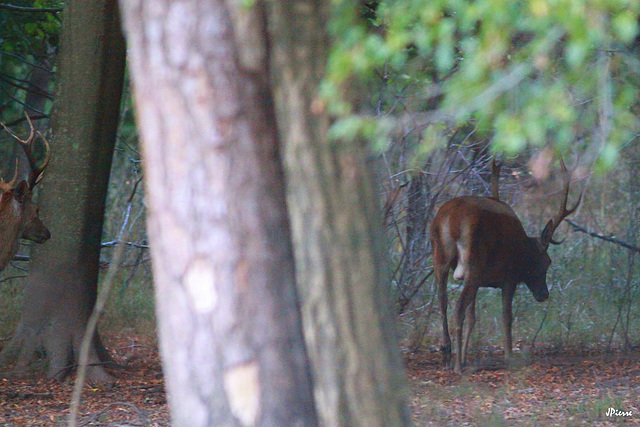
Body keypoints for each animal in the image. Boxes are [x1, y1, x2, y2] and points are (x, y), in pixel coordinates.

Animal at [430, 159, 580, 372]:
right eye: (547, 262)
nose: (544, 294)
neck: (522, 248)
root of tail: (450, 221)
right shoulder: (509, 278)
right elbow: (506, 316)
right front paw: (509, 356)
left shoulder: (478, 280)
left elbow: (472, 317)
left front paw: (466, 356)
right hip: (473, 263)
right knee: (457, 309)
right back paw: (457, 366)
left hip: (441, 259)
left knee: (442, 302)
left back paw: (447, 354)